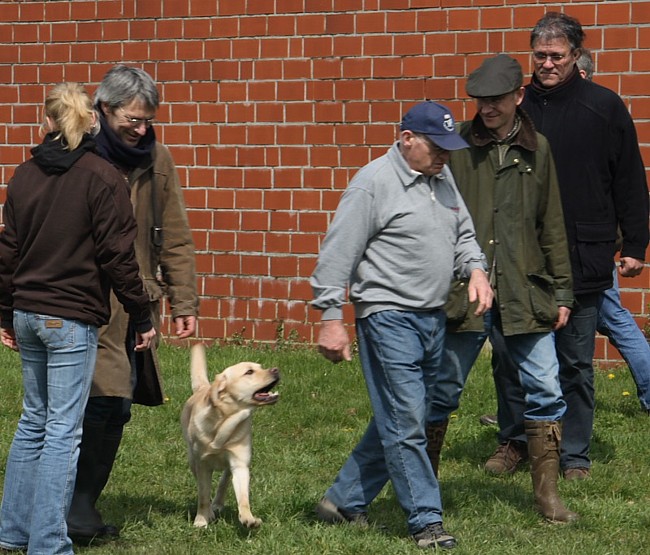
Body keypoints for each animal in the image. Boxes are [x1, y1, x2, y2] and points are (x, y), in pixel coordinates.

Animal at [180, 344, 278, 528]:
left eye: (261, 367)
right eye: (249, 372)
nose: (276, 369)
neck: (224, 423)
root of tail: (203, 387)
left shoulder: (240, 463)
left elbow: (243, 497)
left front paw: (249, 518)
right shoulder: (202, 464)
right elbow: (203, 495)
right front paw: (202, 519)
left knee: (224, 480)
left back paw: (218, 503)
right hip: (192, 459)